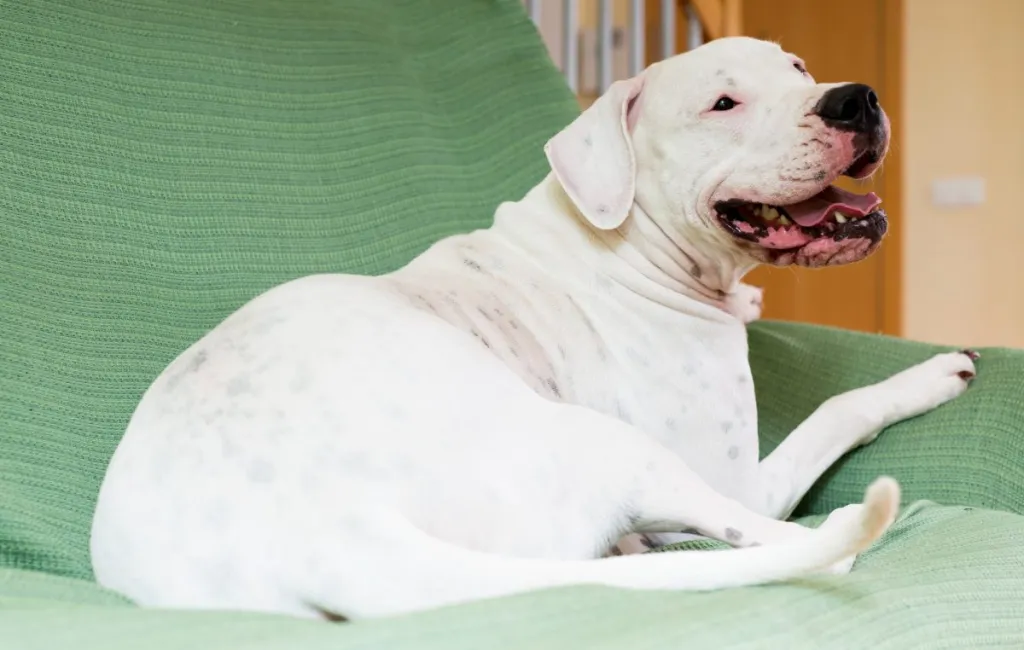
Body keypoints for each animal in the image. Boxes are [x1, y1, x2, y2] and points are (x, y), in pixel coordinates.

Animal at [92, 38, 978, 622]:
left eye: (797, 69)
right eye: (723, 104)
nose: (852, 98)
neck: (626, 240)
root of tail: (326, 540)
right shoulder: (739, 476)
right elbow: (839, 408)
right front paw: (932, 373)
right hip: (618, 451)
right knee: (789, 538)